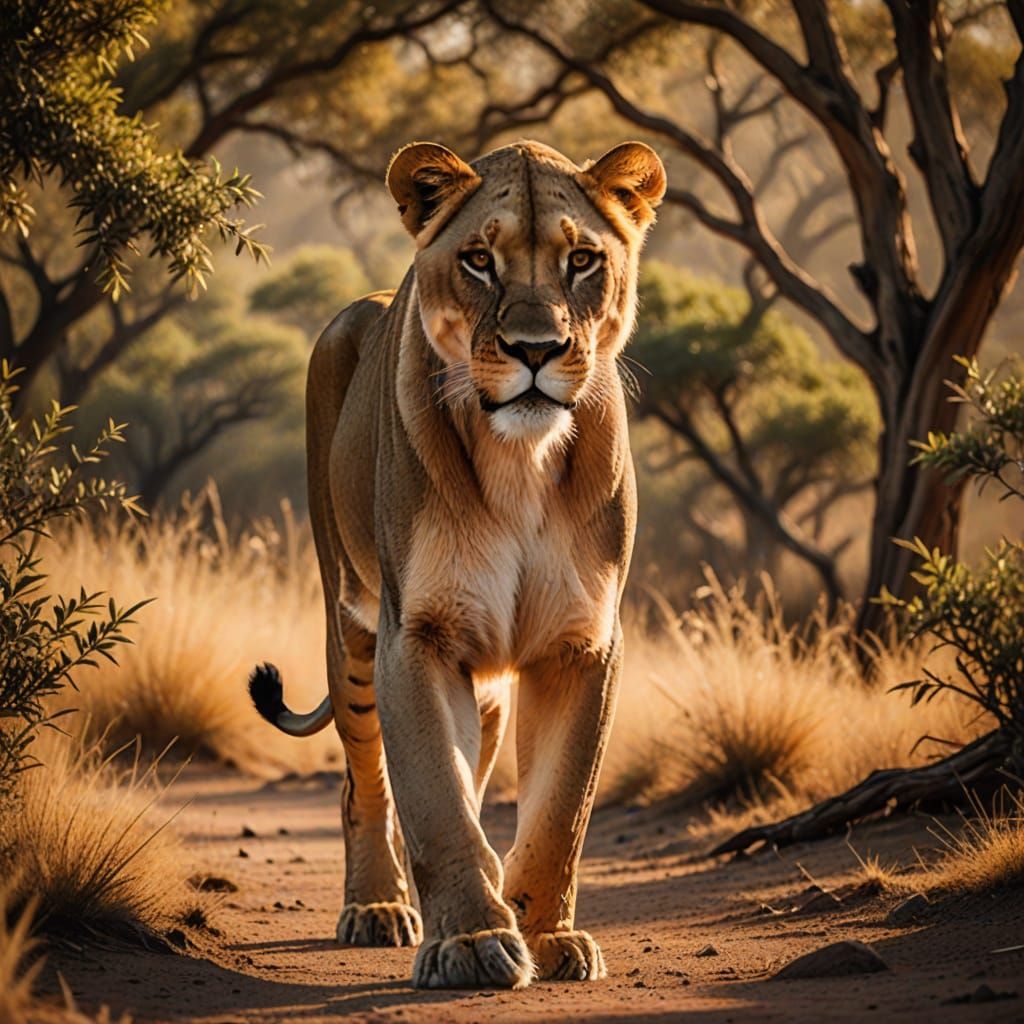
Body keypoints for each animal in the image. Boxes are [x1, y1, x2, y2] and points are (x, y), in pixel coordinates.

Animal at [249, 138, 666, 989]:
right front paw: (472, 940)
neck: (521, 458)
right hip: (351, 631)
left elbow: (559, 809)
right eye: (479, 260)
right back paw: (378, 908)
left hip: (490, 680)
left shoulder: (581, 644)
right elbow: (435, 796)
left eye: (582, 259)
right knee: (363, 785)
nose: (535, 351)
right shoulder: (419, 636)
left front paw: (546, 935)